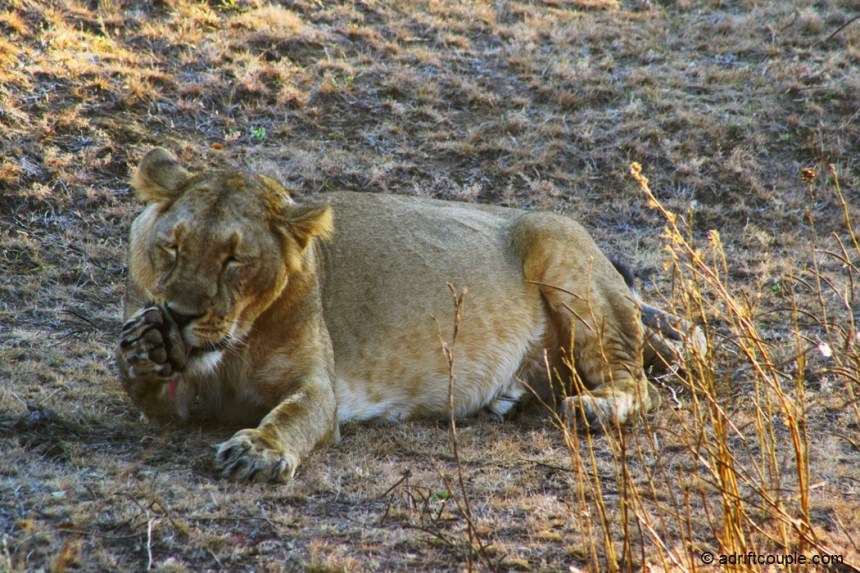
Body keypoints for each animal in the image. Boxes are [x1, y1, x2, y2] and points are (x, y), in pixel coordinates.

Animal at [116, 148, 704, 483]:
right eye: (172, 247)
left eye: (234, 260)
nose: (178, 313)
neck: (236, 344)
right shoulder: (182, 400)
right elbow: (146, 393)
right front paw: (147, 345)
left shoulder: (319, 390)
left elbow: (293, 416)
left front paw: (258, 450)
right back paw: (513, 399)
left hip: (563, 253)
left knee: (636, 382)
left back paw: (595, 408)